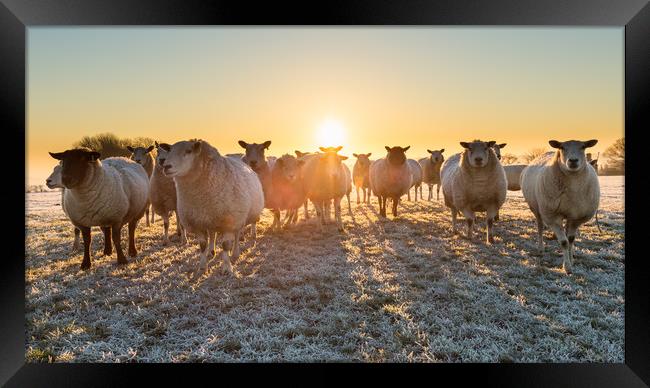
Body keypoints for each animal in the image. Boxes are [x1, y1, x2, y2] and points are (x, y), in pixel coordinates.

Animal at [158, 138, 262, 274]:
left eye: (188, 151)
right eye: (169, 150)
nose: (166, 167)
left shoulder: (230, 221)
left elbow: (225, 245)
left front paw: (227, 268)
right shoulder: (197, 222)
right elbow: (202, 245)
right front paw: (202, 266)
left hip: (239, 217)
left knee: (237, 235)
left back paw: (235, 253)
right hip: (211, 218)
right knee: (213, 234)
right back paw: (211, 252)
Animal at [520, 139, 600, 272]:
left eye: (583, 147)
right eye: (562, 147)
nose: (573, 161)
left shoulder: (576, 217)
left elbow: (571, 239)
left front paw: (571, 260)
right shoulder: (553, 216)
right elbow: (564, 242)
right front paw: (567, 267)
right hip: (537, 209)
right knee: (540, 227)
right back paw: (541, 248)